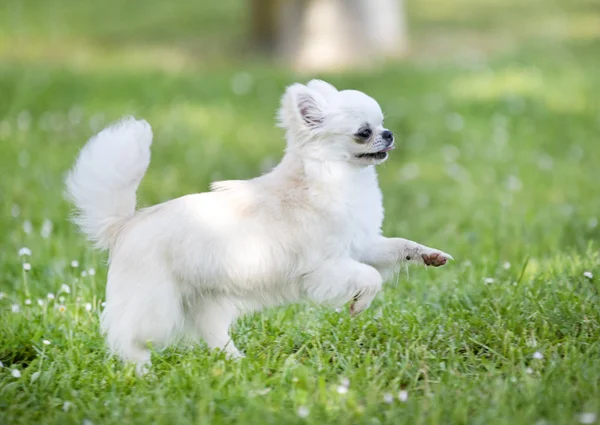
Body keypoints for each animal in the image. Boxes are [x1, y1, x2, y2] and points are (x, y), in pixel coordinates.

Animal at [65, 79, 450, 372]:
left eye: (382, 123)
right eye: (363, 133)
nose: (388, 134)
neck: (336, 178)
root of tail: (124, 225)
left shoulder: (361, 245)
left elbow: (398, 246)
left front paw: (429, 254)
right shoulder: (325, 268)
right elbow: (370, 278)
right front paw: (358, 305)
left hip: (205, 300)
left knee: (213, 335)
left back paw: (236, 363)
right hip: (156, 307)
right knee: (130, 339)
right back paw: (142, 373)